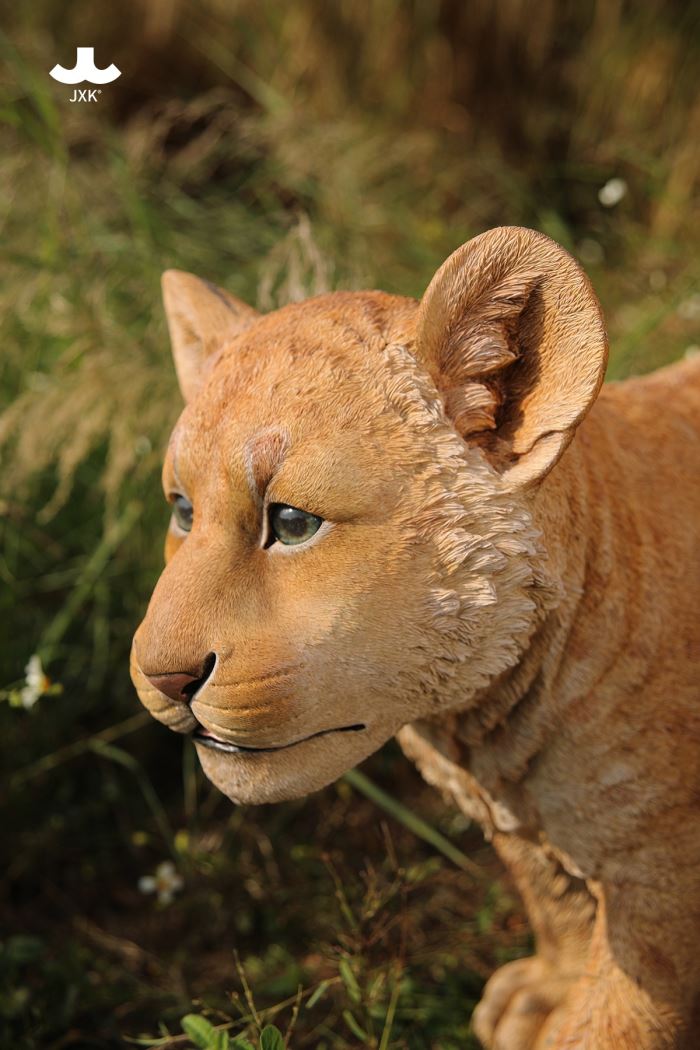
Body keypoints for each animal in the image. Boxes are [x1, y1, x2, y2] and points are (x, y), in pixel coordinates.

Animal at [131, 227, 700, 1049]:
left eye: (292, 522)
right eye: (181, 510)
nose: (161, 679)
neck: (491, 730)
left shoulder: (662, 872)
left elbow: (626, 1013)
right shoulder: (523, 829)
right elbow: (553, 898)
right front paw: (542, 996)